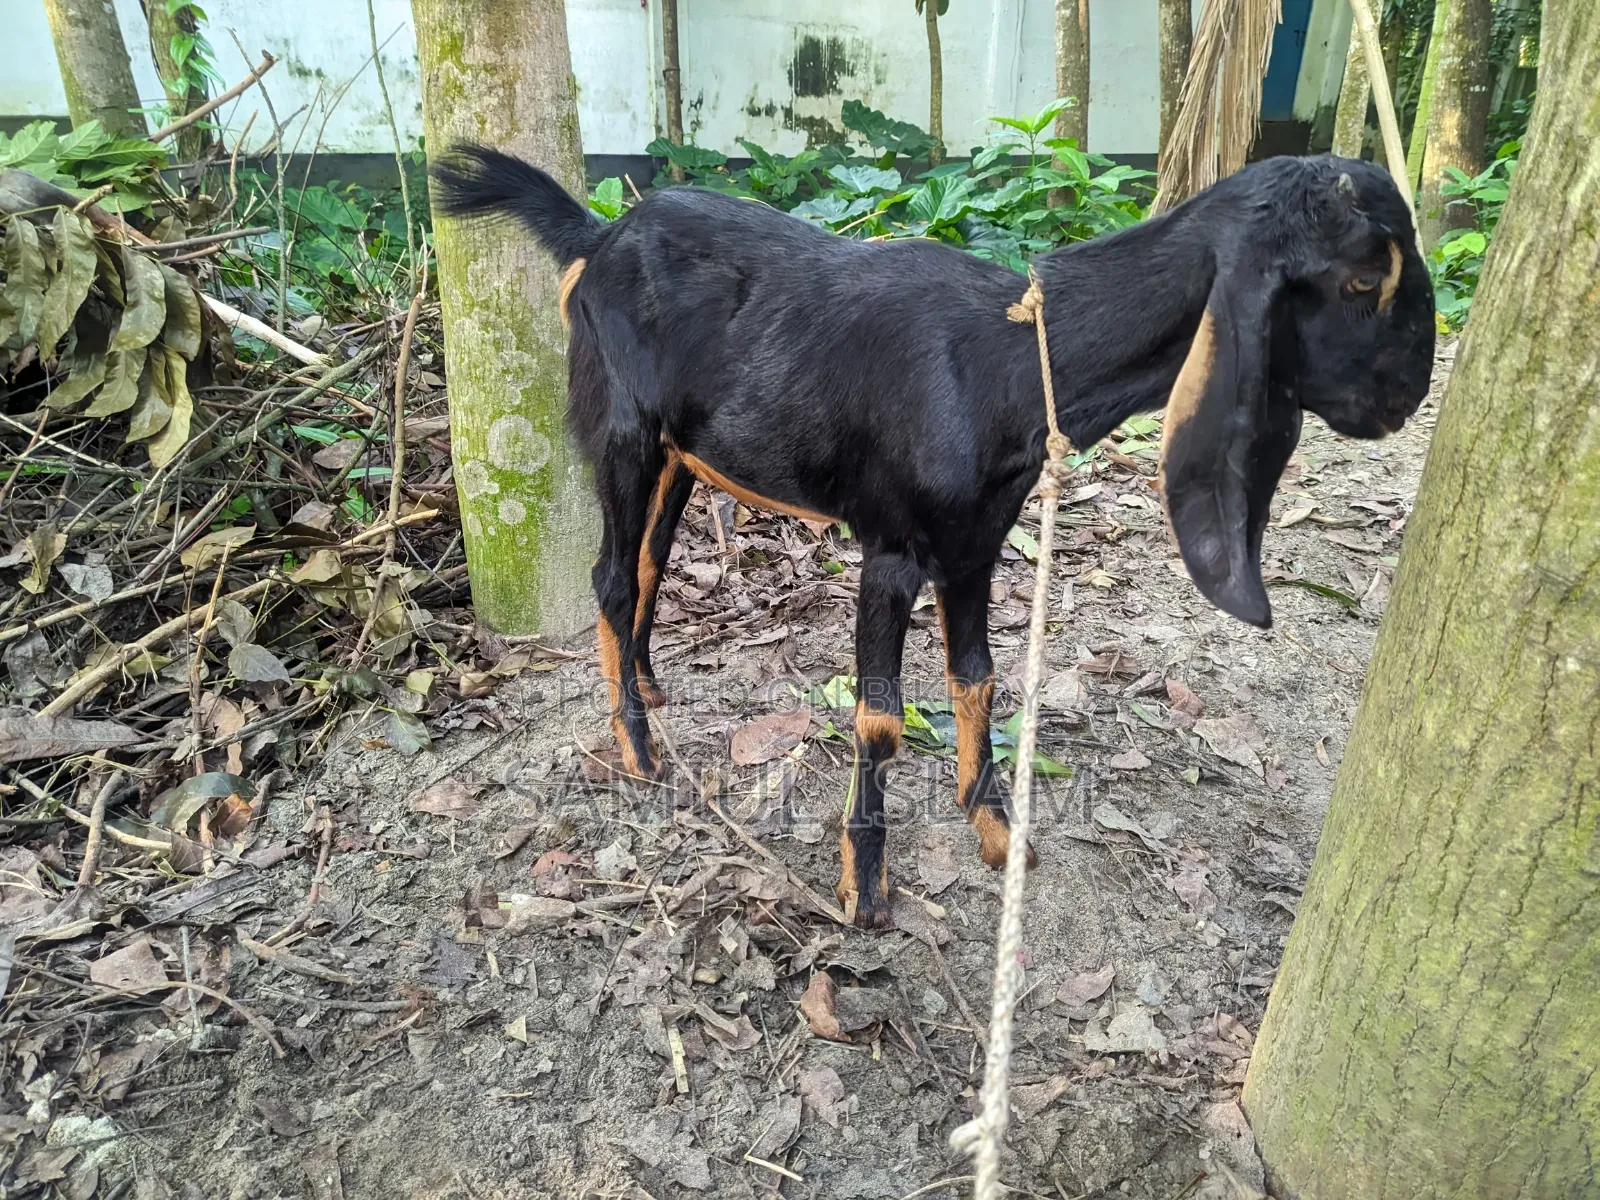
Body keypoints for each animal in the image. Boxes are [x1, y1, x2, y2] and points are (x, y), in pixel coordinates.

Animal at [432, 149, 1435, 927]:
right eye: (1360, 281)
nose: (1405, 398)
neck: (1007, 360)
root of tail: (598, 237)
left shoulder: (974, 547)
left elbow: (979, 681)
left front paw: (994, 831)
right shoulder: (891, 552)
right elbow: (877, 720)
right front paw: (865, 889)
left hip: (683, 455)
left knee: (645, 565)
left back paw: (645, 688)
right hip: (623, 432)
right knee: (608, 574)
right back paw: (638, 753)